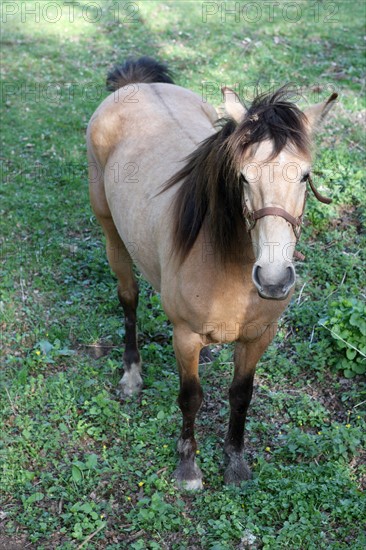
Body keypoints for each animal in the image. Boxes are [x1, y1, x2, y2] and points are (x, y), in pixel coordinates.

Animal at [86, 57, 338, 492]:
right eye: (243, 176)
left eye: (305, 176)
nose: (274, 280)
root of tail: (137, 85)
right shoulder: (186, 337)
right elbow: (191, 397)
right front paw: (188, 467)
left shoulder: (258, 337)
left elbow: (241, 394)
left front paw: (234, 462)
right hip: (111, 234)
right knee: (129, 298)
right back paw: (131, 375)